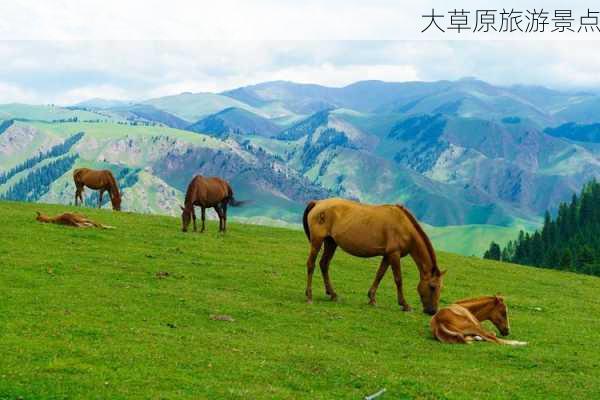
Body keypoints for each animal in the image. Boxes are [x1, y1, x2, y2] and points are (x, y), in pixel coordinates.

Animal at [304, 198, 446, 314]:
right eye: (432, 287)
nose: (433, 311)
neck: (404, 225)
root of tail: (317, 203)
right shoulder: (394, 254)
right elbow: (398, 279)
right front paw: (404, 305)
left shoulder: (387, 255)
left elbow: (379, 275)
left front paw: (372, 298)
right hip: (317, 241)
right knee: (311, 264)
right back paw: (309, 296)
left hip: (331, 242)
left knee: (324, 264)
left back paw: (333, 294)